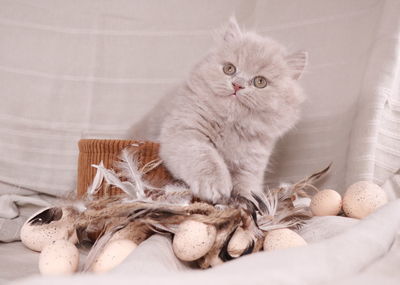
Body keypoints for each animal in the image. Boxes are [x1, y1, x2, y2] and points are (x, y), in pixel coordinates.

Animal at [128, 18, 306, 202]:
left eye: (260, 82)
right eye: (229, 69)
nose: (237, 85)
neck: (231, 126)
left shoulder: (252, 164)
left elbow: (248, 184)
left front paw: (250, 200)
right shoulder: (186, 133)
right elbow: (207, 158)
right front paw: (215, 186)